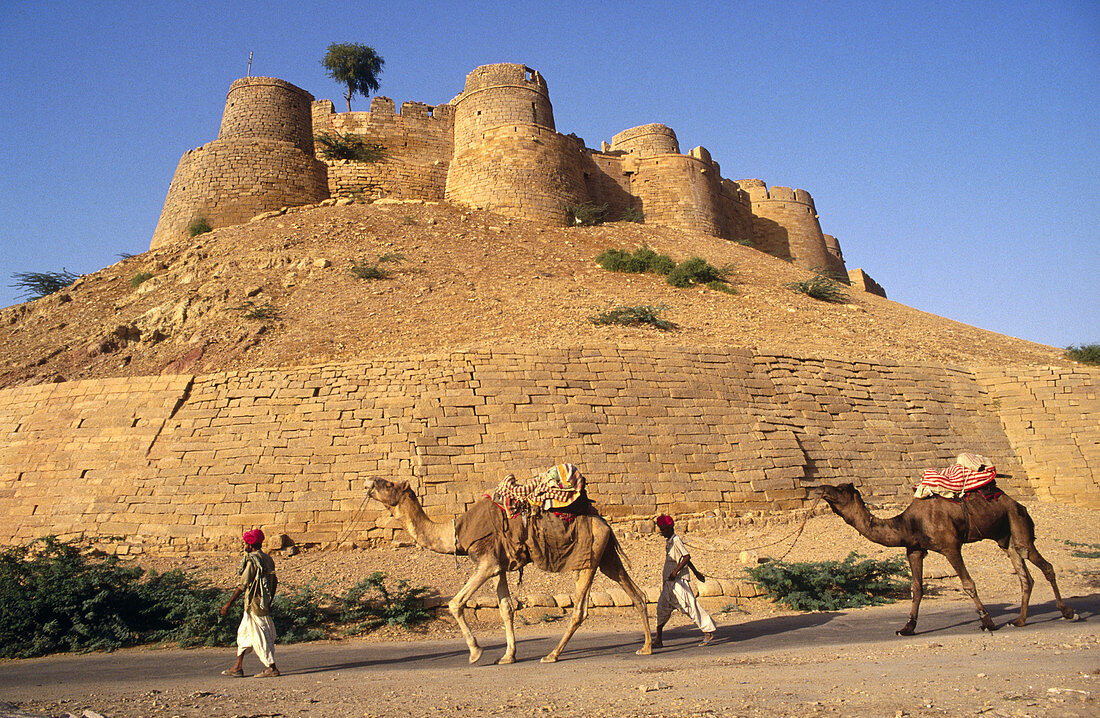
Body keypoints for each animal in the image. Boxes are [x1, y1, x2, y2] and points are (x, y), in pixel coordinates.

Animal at [367, 472, 651, 664]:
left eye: (388, 484)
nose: (368, 481)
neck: (456, 533)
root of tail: (604, 522)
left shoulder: (486, 562)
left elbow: (455, 603)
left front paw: (475, 652)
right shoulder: (498, 566)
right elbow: (506, 609)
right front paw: (508, 656)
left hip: (588, 559)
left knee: (580, 611)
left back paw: (552, 655)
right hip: (606, 557)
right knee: (637, 594)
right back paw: (648, 646)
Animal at [818, 481, 1073, 633]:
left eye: (841, 489)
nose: (822, 487)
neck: (909, 523)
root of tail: (1020, 504)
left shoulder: (951, 547)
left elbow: (968, 584)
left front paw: (987, 622)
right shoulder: (914, 550)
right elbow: (917, 589)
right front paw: (907, 627)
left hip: (1019, 526)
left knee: (1044, 564)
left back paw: (1067, 612)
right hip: (1005, 538)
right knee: (1025, 576)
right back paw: (1020, 620)